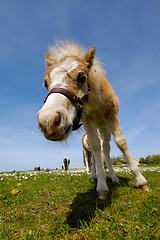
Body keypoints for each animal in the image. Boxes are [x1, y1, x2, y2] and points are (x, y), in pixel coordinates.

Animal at [37, 41, 149, 201]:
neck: (94, 102)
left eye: (82, 77)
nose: (48, 122)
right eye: (45, 83)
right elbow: (95, 147)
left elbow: (121, 142)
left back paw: (114, 178)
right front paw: (102, 187)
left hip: (105, 127)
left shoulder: (111, 114)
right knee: (96, 151)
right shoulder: (87, 119)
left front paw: (141, 181)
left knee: (106, 149)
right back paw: (94, 176)